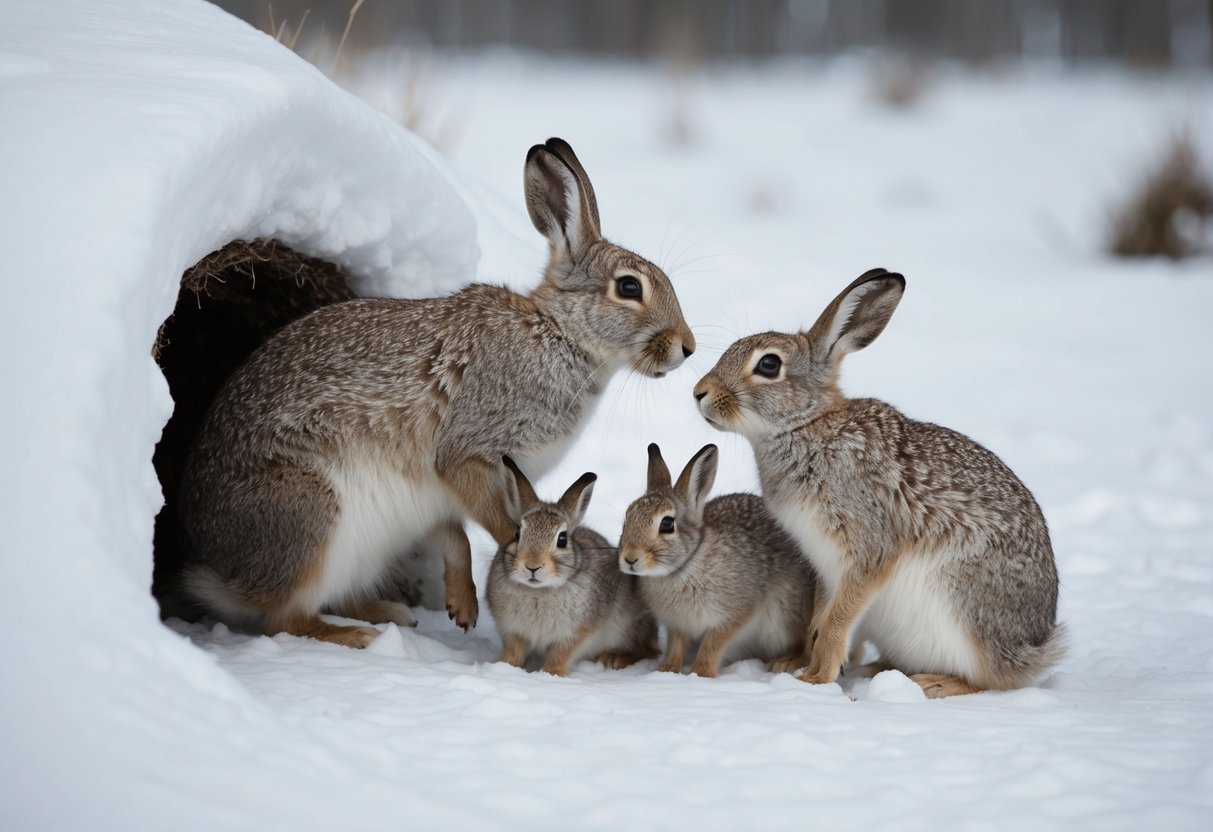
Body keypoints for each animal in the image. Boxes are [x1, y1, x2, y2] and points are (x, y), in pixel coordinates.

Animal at [179, 138, 695, 648]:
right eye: (629, 287)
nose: (687, 347)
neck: (561, 334)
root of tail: (219, 569)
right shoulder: (464, 454)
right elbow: (494, 525)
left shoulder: (440, 491)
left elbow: (455, 537)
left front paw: (463, 606)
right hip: (313, 515)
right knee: (282, 619)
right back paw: (357, 636)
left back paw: (386, 613)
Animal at [486, 457, 658, 676]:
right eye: (517, 533)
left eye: (562, 539)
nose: (532, 566)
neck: (538, 590)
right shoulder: (513, 631)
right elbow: (514, 651)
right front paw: (505, 667)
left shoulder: (575, 633)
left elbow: (560, 654)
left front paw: (551, 673)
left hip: (629, 627)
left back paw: (613, 658)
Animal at [618, 443, 818, 678]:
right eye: (627, 519)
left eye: (667, 524)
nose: (630, 558)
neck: (684, 566)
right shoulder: (677, 625)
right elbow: (676, 646)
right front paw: (666, 670)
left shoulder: (735, 612)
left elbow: (713, 644)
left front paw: (700, 674)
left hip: (789, 615)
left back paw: (786, 663)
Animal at [693, 268, 1064, 698]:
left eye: (768, 365)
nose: (699, 393)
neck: (805, 426)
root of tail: (1033, 646)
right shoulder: (824, 563)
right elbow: (823, 614)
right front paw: (807, 664)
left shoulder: (868, 541)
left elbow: (837, 621)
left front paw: (815, 680)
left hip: (966, 611)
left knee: (991, 680)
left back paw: (935, 684)